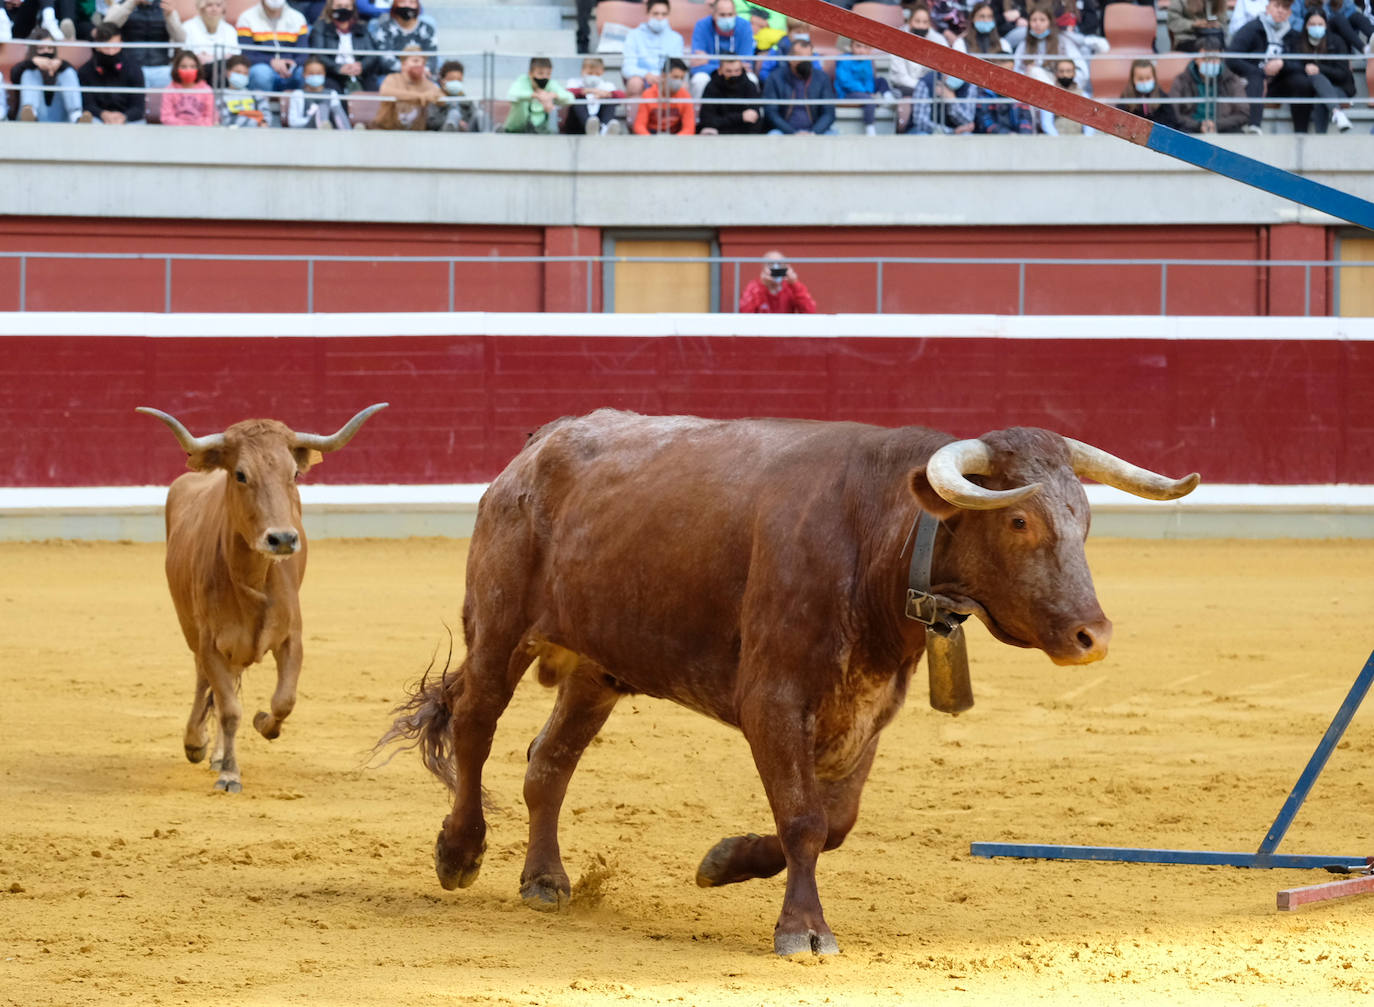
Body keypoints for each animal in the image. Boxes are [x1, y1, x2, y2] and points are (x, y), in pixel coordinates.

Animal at [140, 403, 387, 791]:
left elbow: (283, 700)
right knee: (204, 681)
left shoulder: (291, 638)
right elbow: (228, 708)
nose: (283, 539)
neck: (250, 579)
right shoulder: (211, 642)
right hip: (193, 631)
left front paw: (261, 724)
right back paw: (197, 743)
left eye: (295, 474)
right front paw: (229, 772)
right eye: (241, 474)